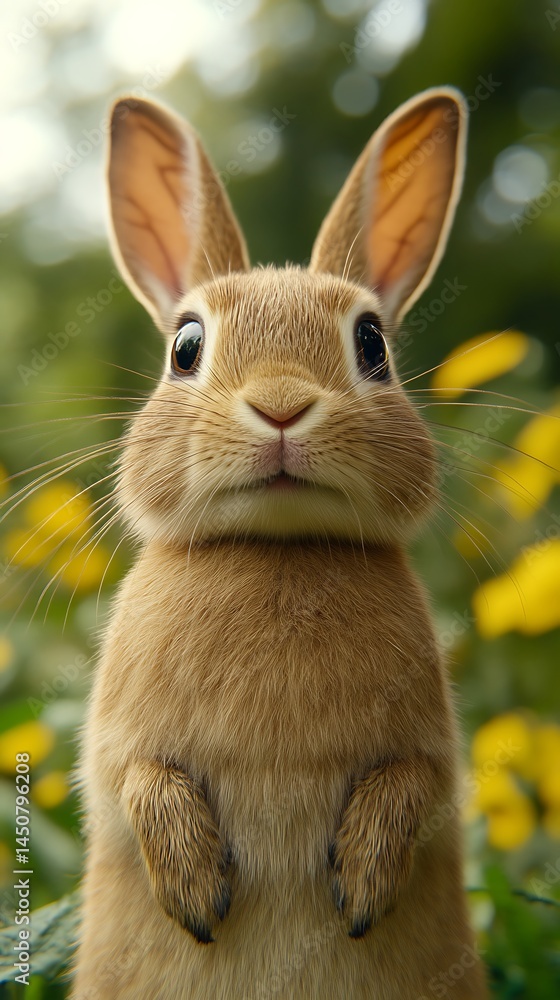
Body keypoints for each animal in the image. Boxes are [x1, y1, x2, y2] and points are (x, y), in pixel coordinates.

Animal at [72, 87, 488, 999]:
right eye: (185, 347)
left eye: (371, 344)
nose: (282, 405)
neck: (278, 547)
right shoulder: (118, 749)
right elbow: (134, 783)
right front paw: (196, 891)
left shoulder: (430, 755)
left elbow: (413, 784)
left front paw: (361, 885)